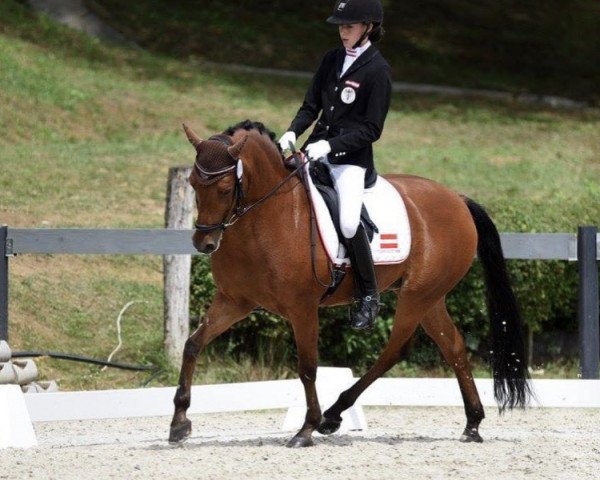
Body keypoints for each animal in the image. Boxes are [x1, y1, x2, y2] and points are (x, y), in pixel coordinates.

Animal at [169, 119, 528, 446]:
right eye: (193, 183)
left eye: (225, 189)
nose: (204, 243)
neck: (264, 218)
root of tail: (457, 199)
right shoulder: (234, 301)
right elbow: (193, 344)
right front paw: (179, 422)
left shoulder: (303, 308)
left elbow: (308, 367)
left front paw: (306, 429)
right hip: (430, 297)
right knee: (452, 346)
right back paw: (472, 424)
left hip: (417, 296)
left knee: (395, 350)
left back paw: (332, 415)